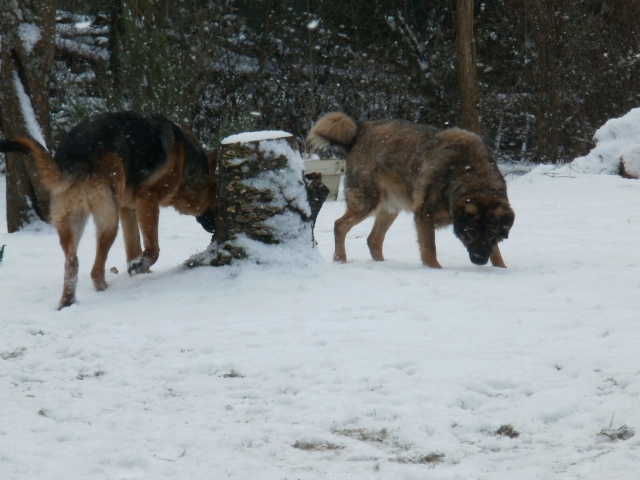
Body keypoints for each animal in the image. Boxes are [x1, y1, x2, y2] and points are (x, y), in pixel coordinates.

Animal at [0, 110, 218, 310]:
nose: (214, 229)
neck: (184, 163)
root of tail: (73, 157)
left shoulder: (127, 209)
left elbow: (133, 250)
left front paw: (138, 271)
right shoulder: (147, 200)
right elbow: (152, 249)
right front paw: (140, 266)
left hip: (73, 221)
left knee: (72, 263)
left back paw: (67, 302)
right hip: (109, 222)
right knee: (95, 270)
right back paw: (103, 290)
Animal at [306, 113, 516, 270]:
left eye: (491, 233)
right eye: (471, 231)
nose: (480, 260)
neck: (471, 174)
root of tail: (361, 129)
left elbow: (496, 251)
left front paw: (501, 268)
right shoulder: (424, 215)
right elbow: (430, 250)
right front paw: (435, 270)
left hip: (390, 208)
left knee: (373, 240)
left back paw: (382, 265)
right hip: (366, 202)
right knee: (340, 225)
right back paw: (340, 259)